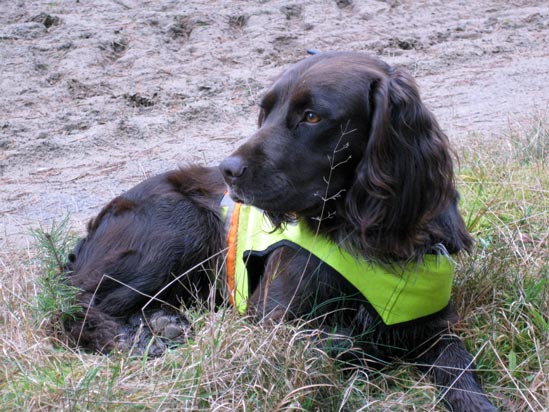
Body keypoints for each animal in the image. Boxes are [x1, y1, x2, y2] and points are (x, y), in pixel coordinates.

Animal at [61, 53, 496, 410]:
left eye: (312, 116)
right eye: (265, 112)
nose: (228, 170)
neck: (362, 231)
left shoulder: (432, 323)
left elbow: (459, 370)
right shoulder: (272, 324)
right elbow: (337, 344)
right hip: (179, 224)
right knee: (75, 306)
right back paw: (133, 338)